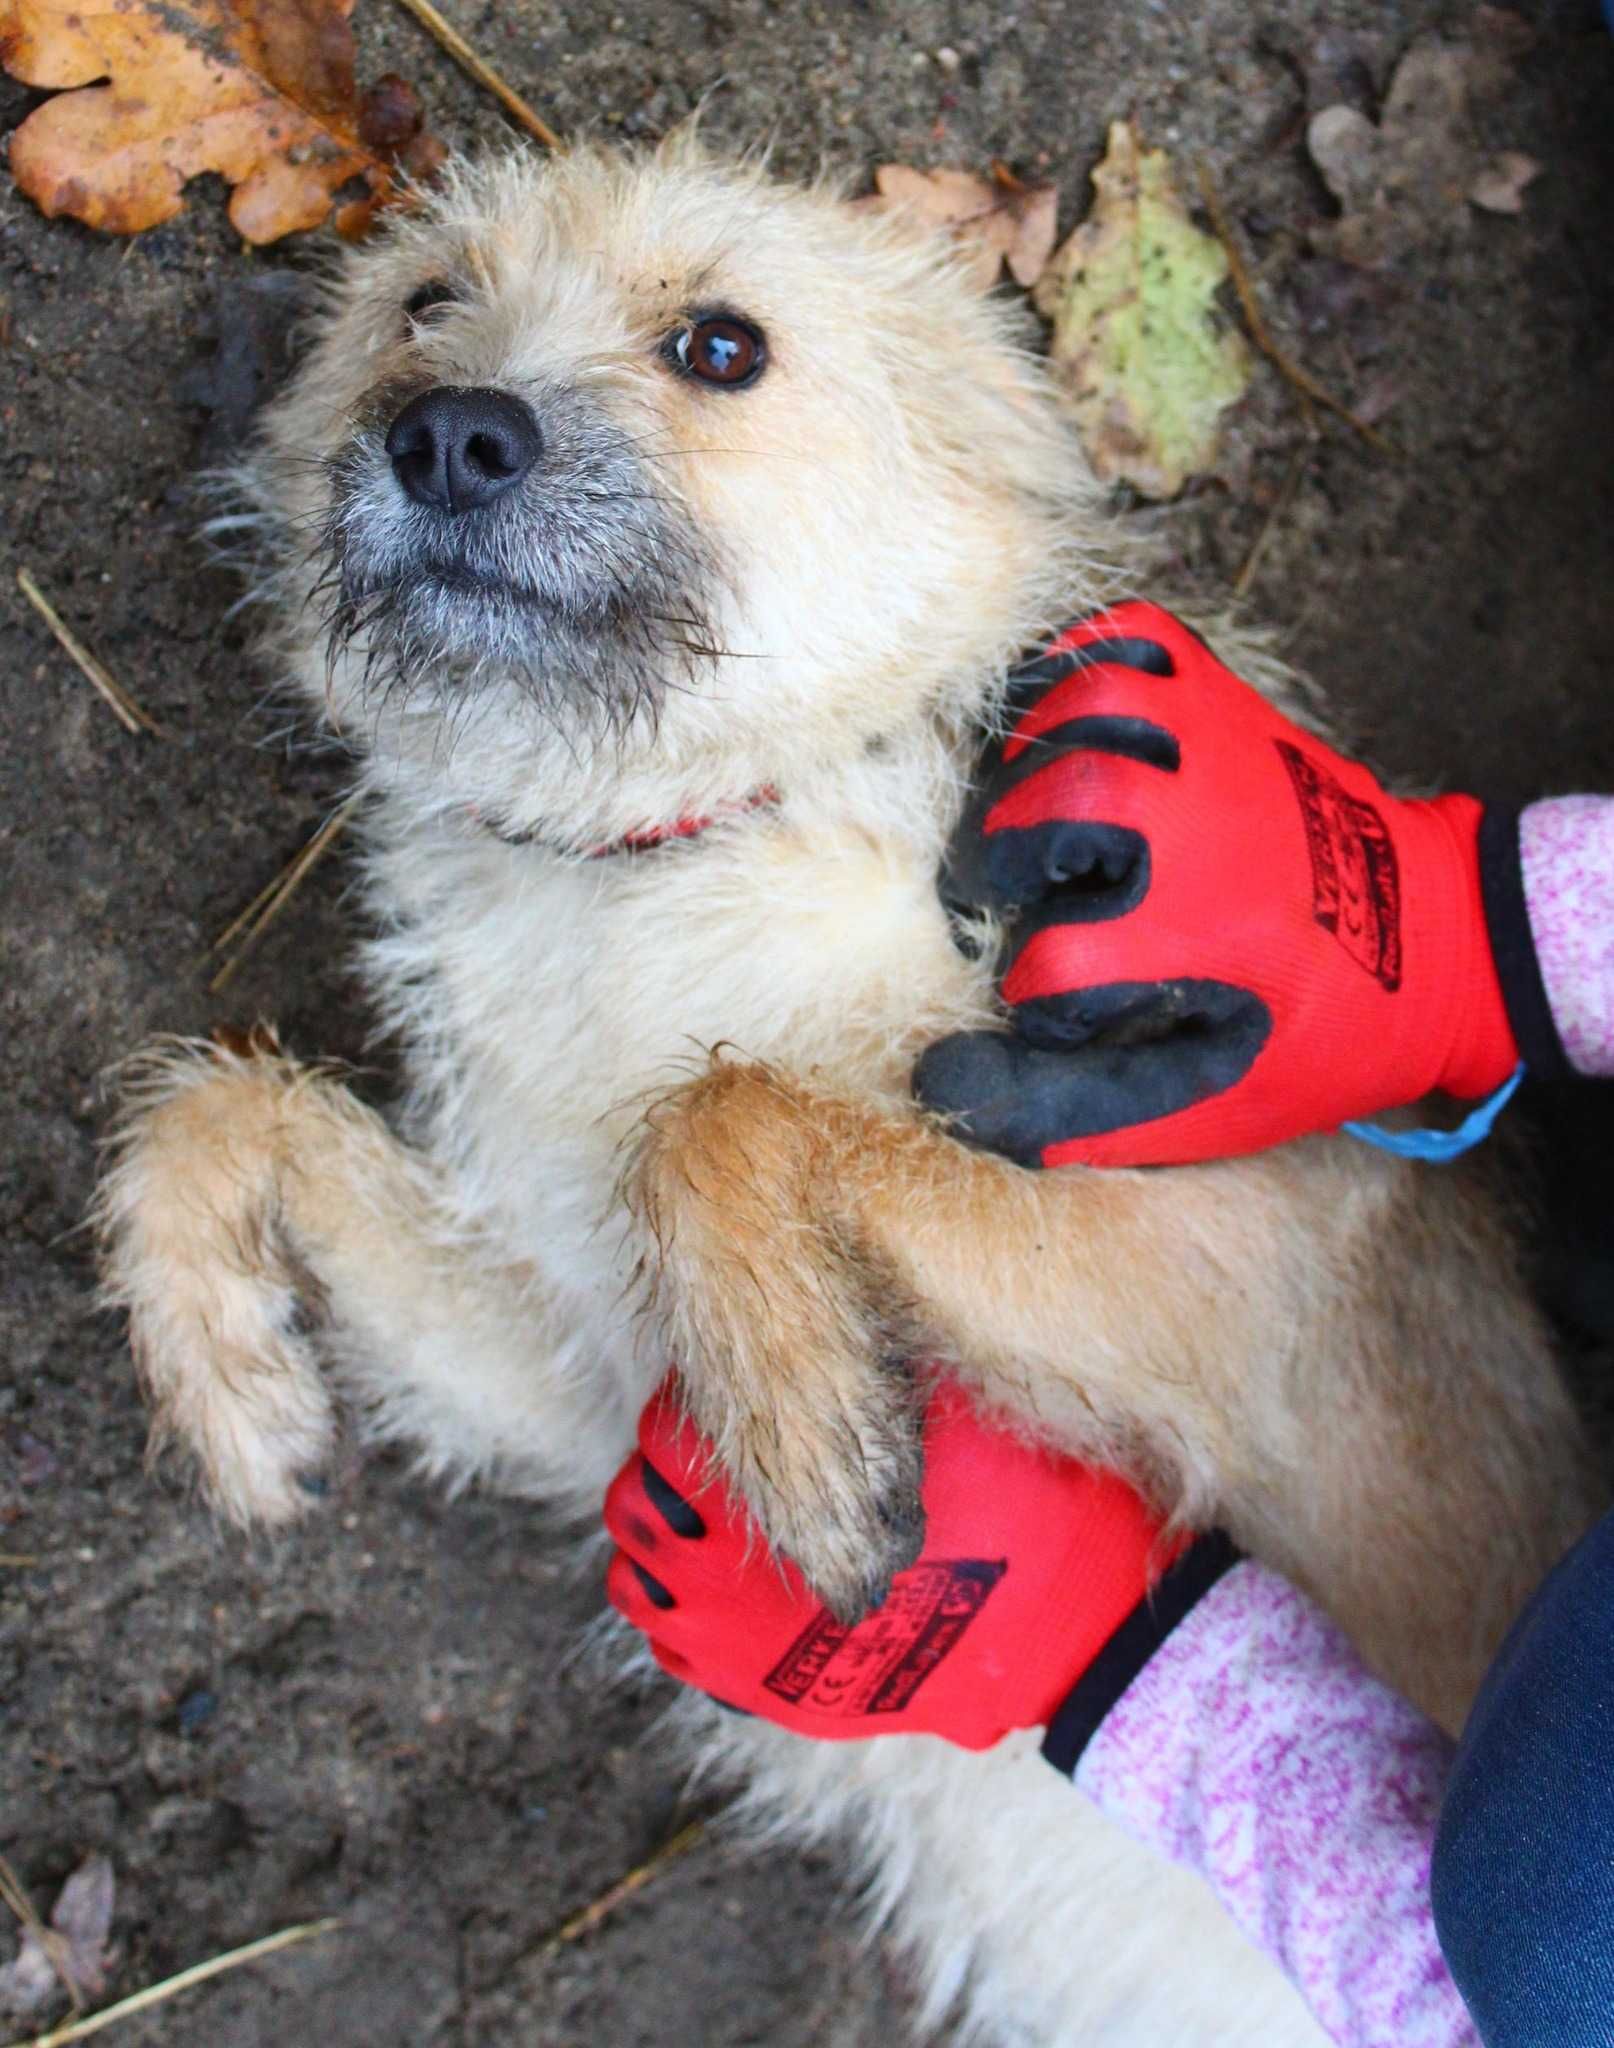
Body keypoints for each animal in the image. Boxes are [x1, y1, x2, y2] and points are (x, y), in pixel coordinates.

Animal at [100, 136, 1597, 2039]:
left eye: (720, 346)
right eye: (423, 300)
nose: (446, 433)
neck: (683, 845)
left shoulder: (1224, 1274)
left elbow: (721, 1112)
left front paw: (804, 1418)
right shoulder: (584, 1391)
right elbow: (218, 1103)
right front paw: (222, 1366)